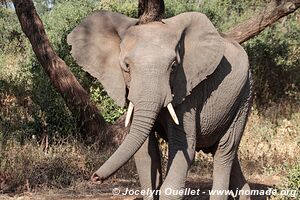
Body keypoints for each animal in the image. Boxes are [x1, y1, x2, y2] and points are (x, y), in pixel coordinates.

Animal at [67, 10, 253, 200]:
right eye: (126, 66)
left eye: (173, 66)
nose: (95, 177)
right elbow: (145, 152)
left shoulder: (187, 89)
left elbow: (183, 145)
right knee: (224, 153)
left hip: (244, 97)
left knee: (225, 151)